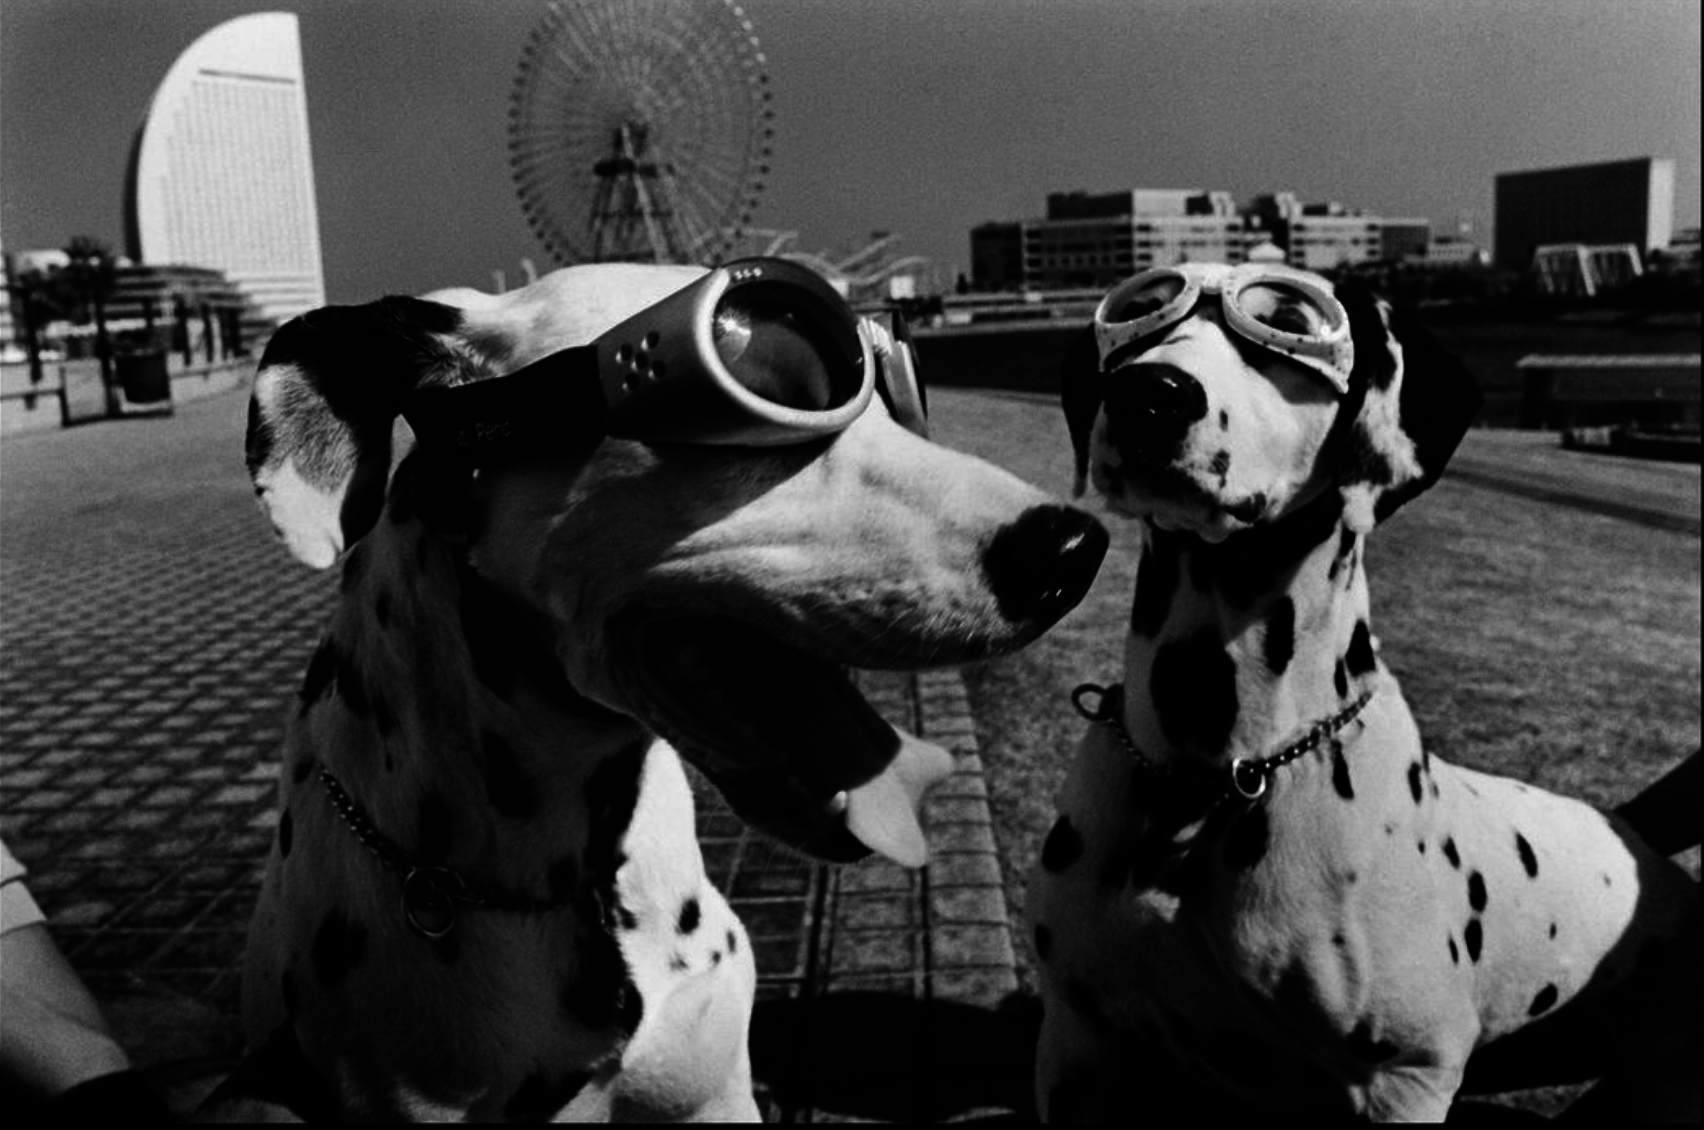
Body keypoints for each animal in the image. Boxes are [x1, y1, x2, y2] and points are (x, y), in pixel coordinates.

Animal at [1029, 265, 1697, 1124]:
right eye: (1140, 312)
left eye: (1285, 323)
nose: (1150, 393)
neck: (1216, 772)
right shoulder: (1079, 1044)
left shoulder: (1404, 1076)